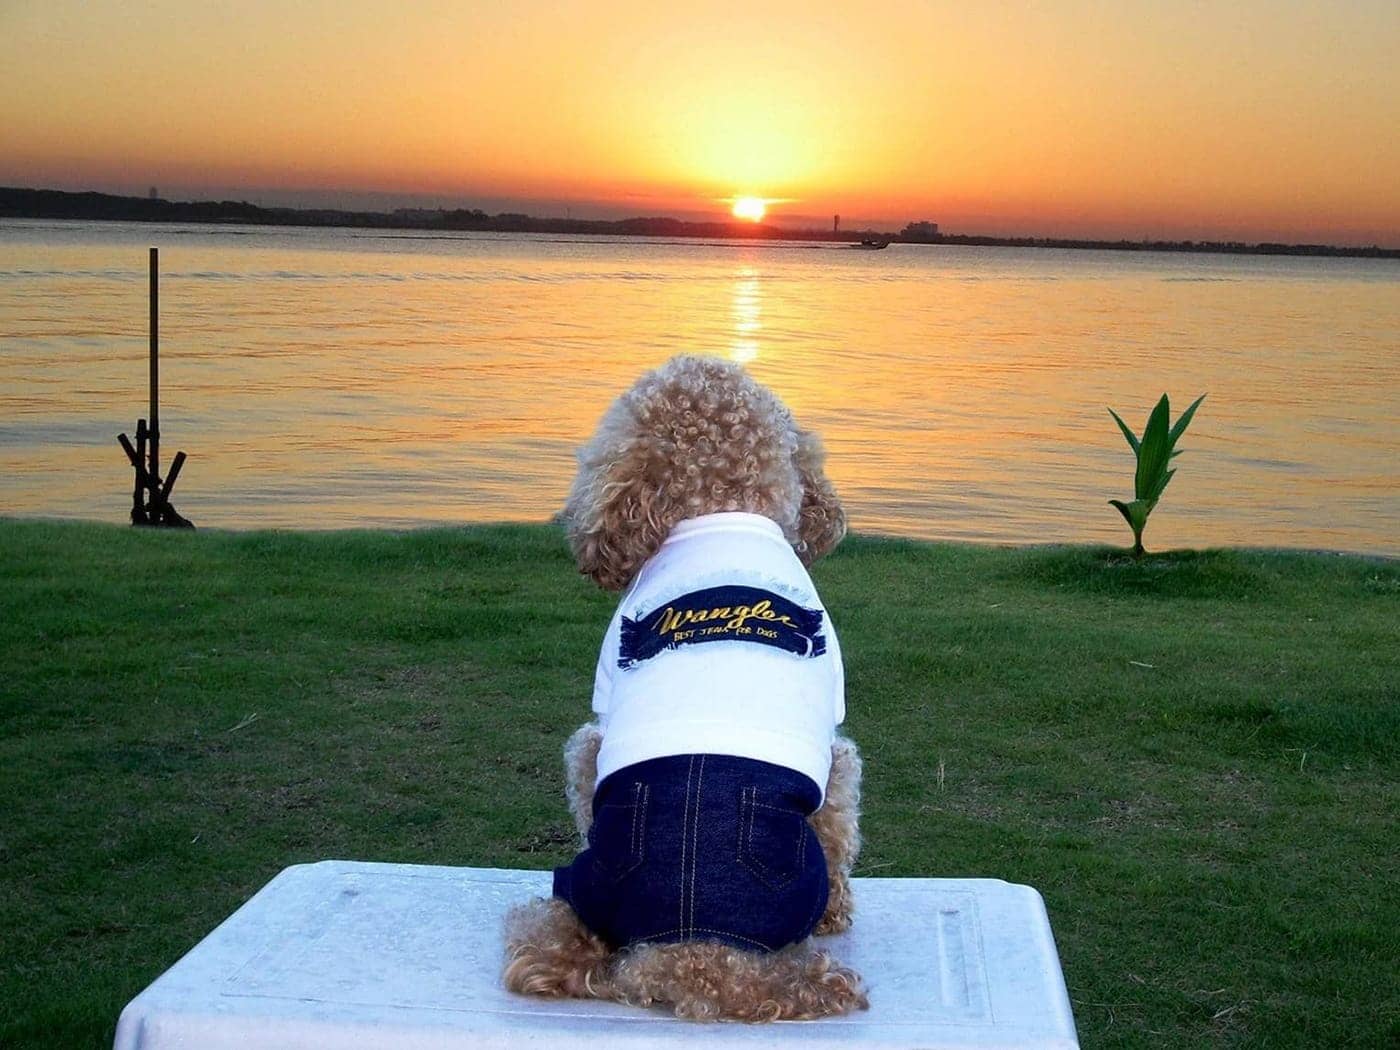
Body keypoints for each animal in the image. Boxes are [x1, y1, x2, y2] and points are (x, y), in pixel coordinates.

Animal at [504, 358, 862, 1024]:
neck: (719, 508)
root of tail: (699, 952)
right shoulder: (838, 752)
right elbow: (840, 826)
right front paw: (838, 913)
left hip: (582, 874)